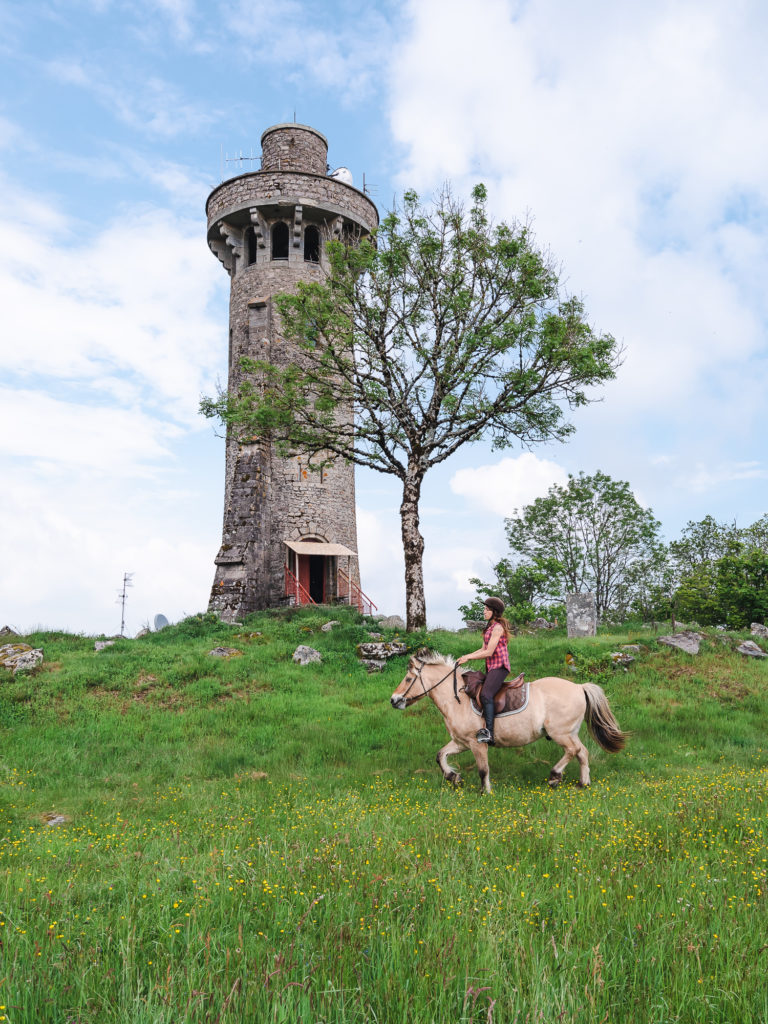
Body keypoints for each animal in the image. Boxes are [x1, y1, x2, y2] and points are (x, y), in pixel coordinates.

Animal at [391, 651, 626, 794]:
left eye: (408, 679)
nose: (394, 700)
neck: (457, 699)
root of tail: (579, 687)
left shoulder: (477, 743)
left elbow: (483, 769)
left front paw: (485, 792)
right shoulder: (460, 742)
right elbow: (440, 755)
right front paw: (453, 777)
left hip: (560, 733)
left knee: (572, 750)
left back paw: (554, 776)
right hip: (570, 732)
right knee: (582, 752)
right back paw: (583, 783)